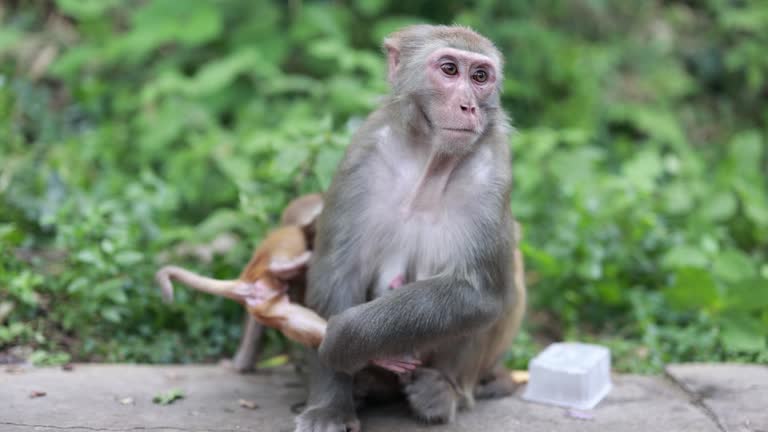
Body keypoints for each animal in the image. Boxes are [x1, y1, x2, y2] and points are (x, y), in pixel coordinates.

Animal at [296, 24, 528, 432]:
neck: (430, 159)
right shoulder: (363, 156)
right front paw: (329, 406)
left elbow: (480, 292)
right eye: (449, 70)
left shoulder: (493, 172)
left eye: (480, 77)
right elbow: (336, 275)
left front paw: (342, 339)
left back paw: (442, 390)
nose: (469, 106)